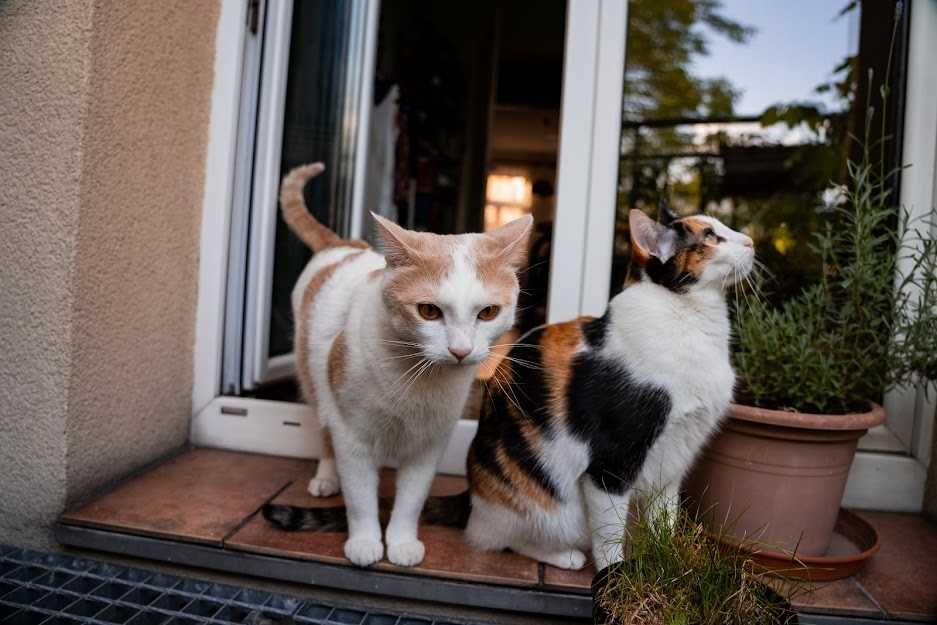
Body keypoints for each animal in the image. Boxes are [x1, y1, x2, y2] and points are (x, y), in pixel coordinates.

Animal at [274, 163, 532, 568]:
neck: (419, 379)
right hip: (315, 383)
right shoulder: (353, 435)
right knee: (325, 432)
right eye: (428, 311)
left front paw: (402, 542)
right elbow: (360, 497)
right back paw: (328, 477)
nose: (460, 350)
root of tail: (342, 245)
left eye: (488, 312)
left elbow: (412, 499)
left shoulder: (431, 442)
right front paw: (365, 542)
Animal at [466, 208, 752, 564]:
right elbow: (610, 532)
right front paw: (614, 573)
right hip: (531, 501)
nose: (751, 241)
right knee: (503, 538)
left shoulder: (673, 460)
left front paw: (666, 559)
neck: (690, 317)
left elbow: (665, 518)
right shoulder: (611, 462)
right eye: (711, 237)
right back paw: (566, 557)